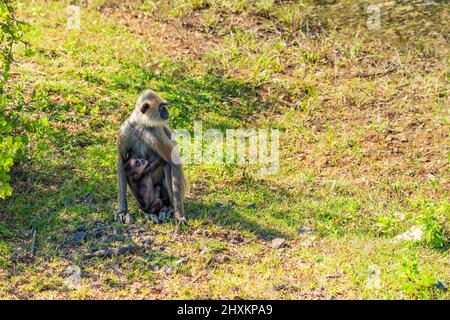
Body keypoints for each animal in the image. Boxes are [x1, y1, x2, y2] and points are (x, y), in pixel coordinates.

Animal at [117, 89, 187, 226]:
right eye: (161, 107)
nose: (166, 111)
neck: (141, 125)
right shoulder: (125, 129)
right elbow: (121, 159)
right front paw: (123, 210)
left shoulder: (155, 132)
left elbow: (174, 162)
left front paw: (179, 215)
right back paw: (148, 213)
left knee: (167, 165)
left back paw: (169, 208)